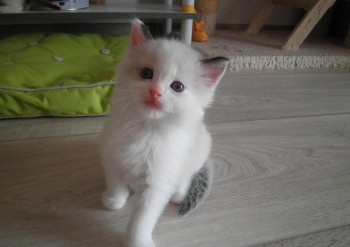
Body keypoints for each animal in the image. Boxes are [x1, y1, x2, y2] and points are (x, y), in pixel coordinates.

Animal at [100, 19, 228, 247]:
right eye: (146, 74)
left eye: (177, 87)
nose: (155, 92)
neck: (145, 130)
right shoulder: (112, 158)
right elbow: (116, 182)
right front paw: (114, 200)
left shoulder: (157, 183)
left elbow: (142, 217)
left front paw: (137, 241)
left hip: (199, 150)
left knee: (187, 175)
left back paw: (179, 194)